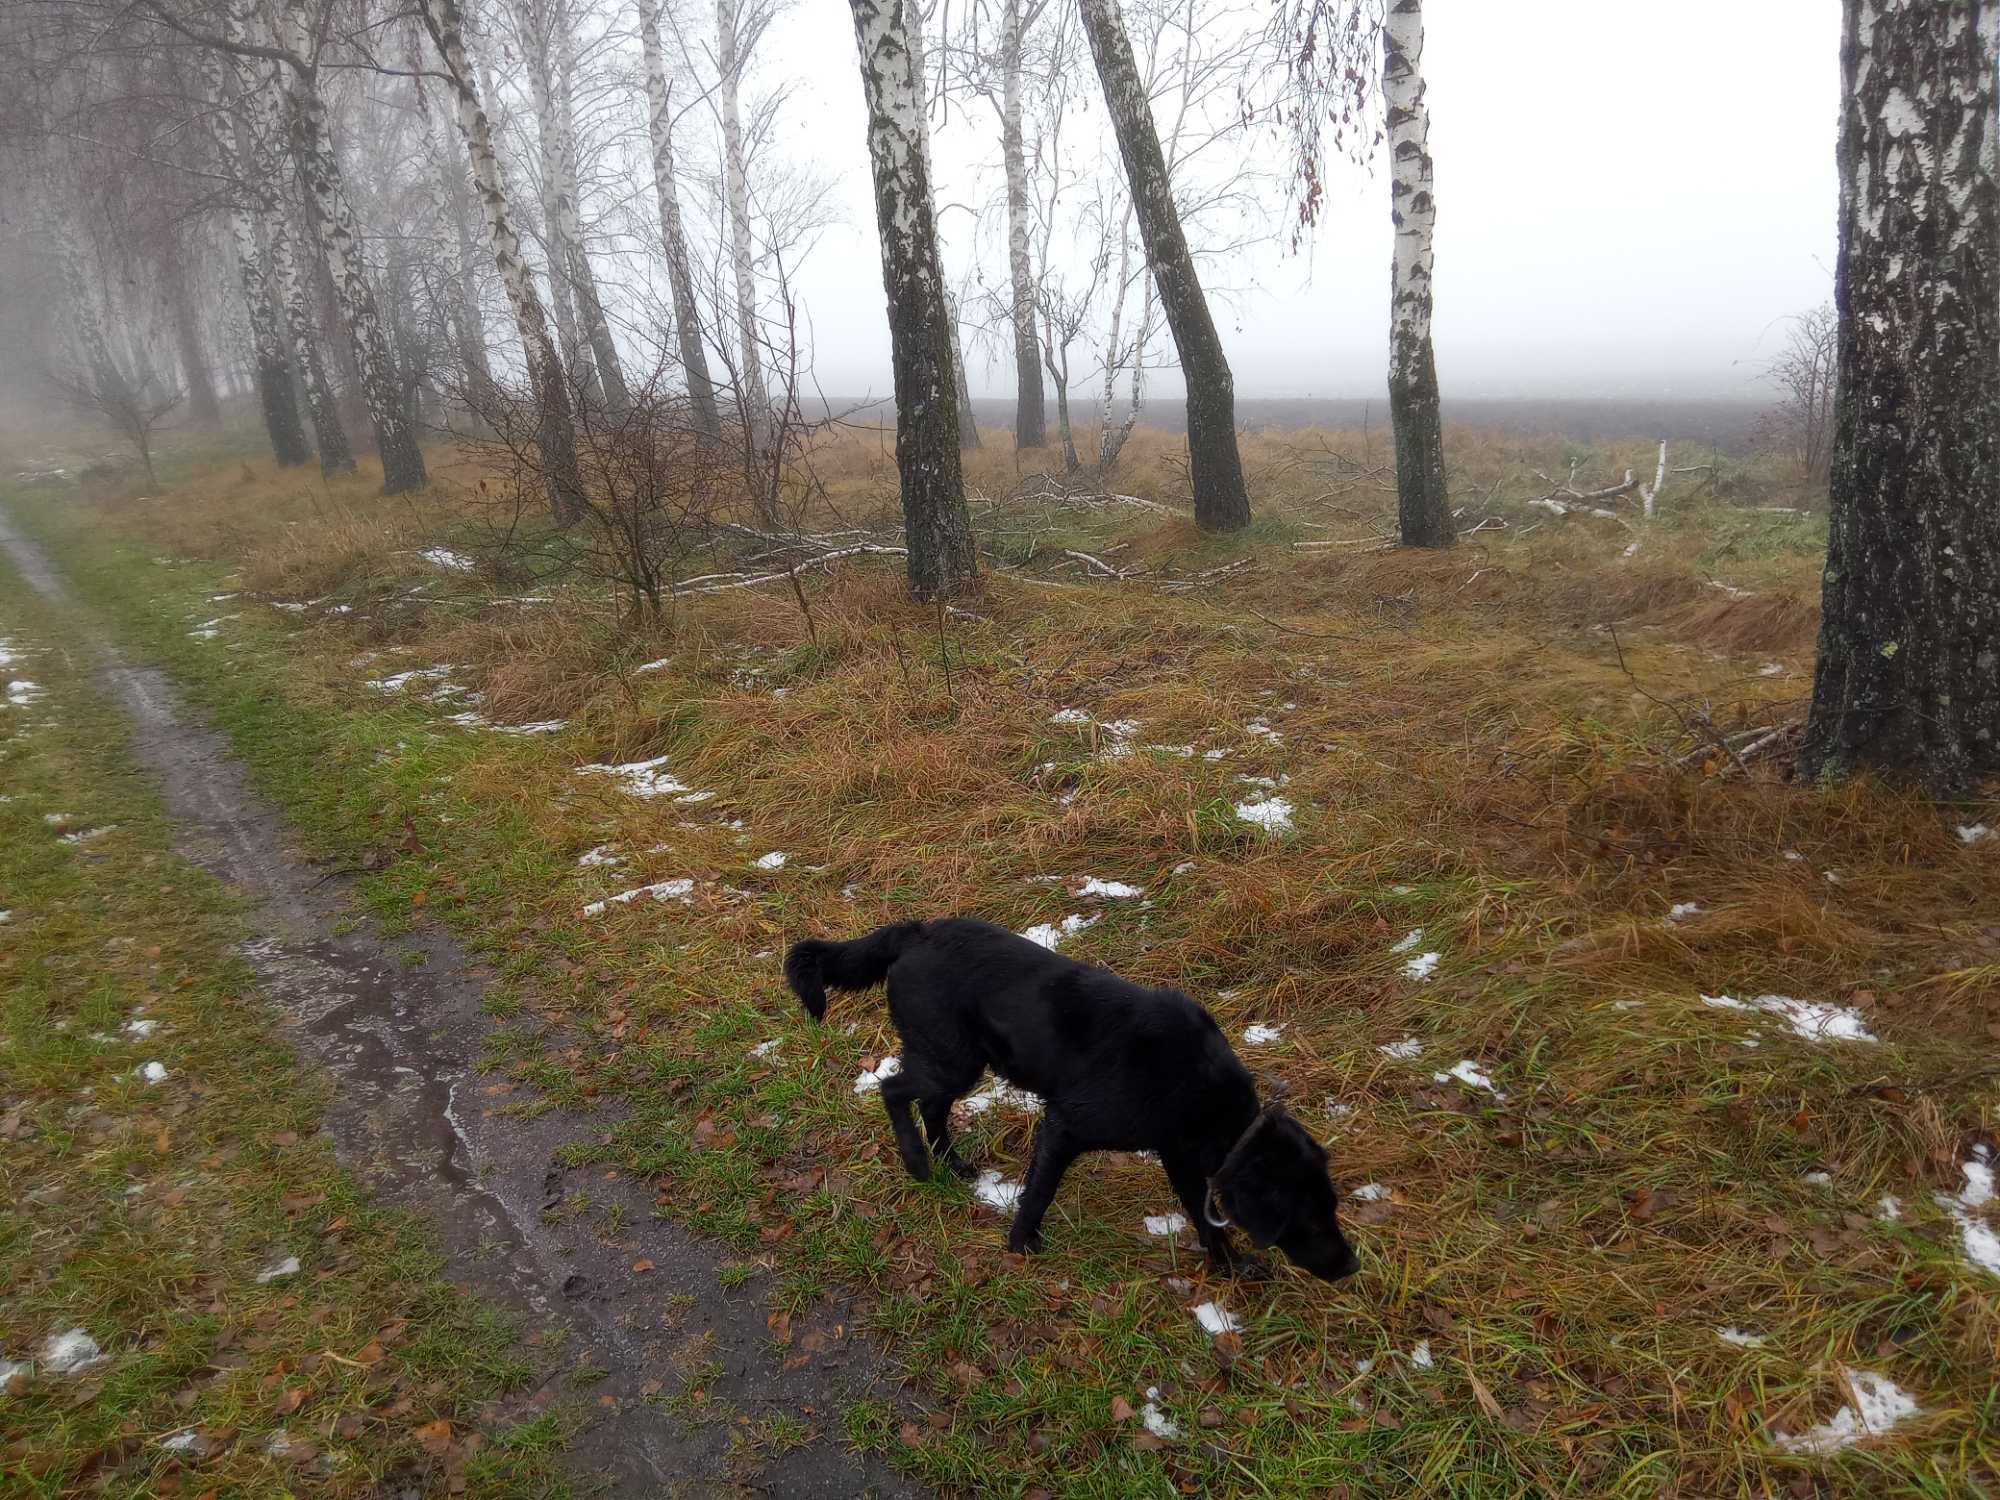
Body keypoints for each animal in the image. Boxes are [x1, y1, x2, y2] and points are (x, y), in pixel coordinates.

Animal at [780, 916, 1360, 1280]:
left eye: (1332, 1207)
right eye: (1308, 1219)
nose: (1352, 1266)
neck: (1198, 1087)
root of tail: (916, 933)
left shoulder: (1179, 1157)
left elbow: (1204, 1217)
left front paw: (1230, 1265)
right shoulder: (1064, 1126)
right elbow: (1039, 1193)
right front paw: (1021, 1245)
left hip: (958, 1064)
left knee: (930, 1106)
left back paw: (951, 1163)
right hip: (952, 1060)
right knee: (894, 1089)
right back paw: (917, 1161)